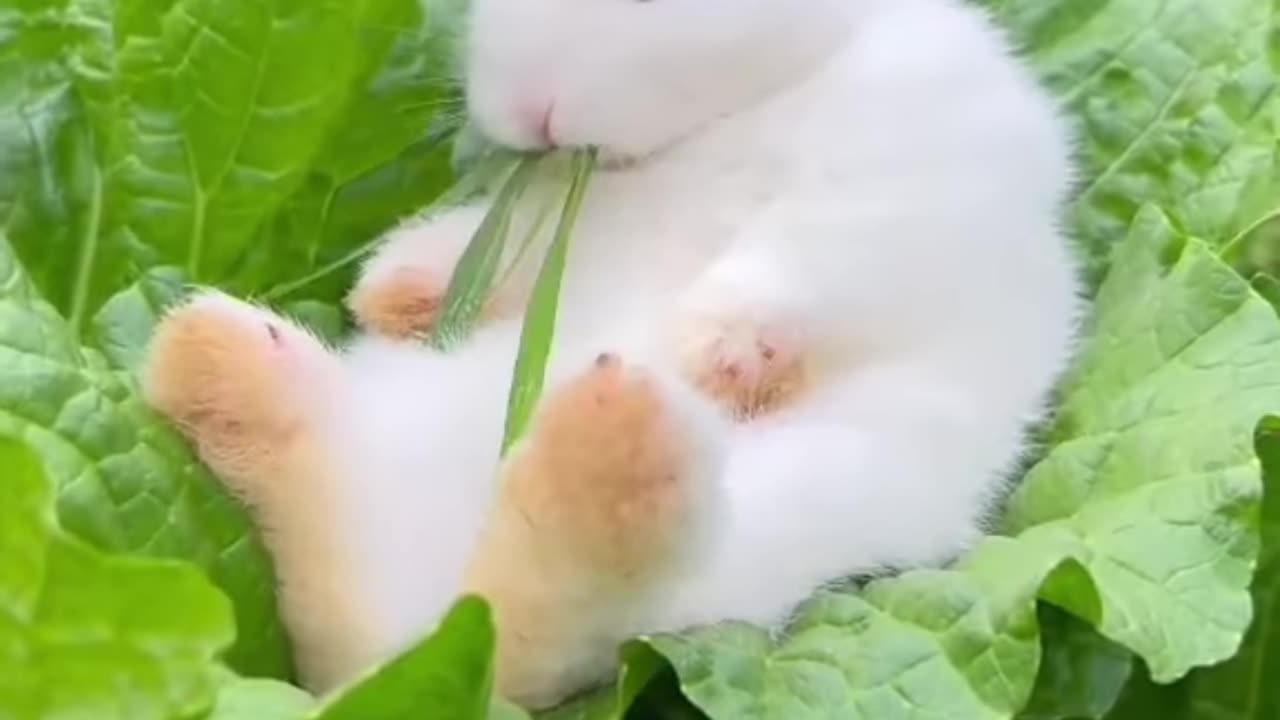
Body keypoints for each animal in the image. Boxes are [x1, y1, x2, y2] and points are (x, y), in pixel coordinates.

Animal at [142, 0, 1080, 707]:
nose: (534, 111)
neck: (723, 118)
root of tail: (410, 653)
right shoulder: (558, 222)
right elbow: (498, 252)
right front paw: (397, 292)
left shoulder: (908, 171)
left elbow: (803, 260)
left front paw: (713, 350)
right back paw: (219, 364)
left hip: (771, 528)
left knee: (550, 619)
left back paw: (618, 428)